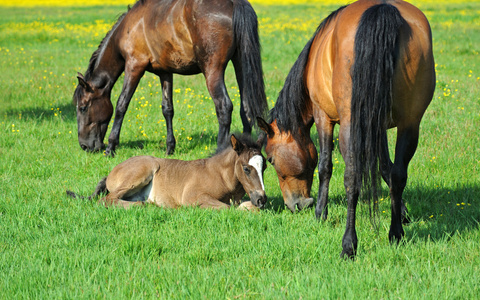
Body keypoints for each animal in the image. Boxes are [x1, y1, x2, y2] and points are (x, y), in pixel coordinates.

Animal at [66, 135, 268, 210]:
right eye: (246, 168)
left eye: (264, 168)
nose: (262, 199)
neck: (220, 175)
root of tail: (111, 172)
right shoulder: (193, 196)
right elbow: (229, 208)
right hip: (144, 169)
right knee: (107, 200)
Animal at [72, 0, 266, 157]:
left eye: (82, 108)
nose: (84, 146)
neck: (131, 26)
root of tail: (234, 3)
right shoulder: (165, 73)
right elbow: (167, 109)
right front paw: (170, 148)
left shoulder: (134, 67)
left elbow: (121, 105)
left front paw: (111, 147)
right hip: (240, 63)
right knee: (246, 107)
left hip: (213, 70)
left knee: (224, 107)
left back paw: (219, 150)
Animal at [258, 0, 436, 258]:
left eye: (270, 160)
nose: (296, 205)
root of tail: (383, 9)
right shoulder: (377, 127)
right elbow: (386, 168)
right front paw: (402, 212)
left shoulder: (323, 117)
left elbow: (325, 166)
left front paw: (320, 212)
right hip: (410, 124)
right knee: (399, 173)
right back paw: (395, 234)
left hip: (351, 126)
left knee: (352, 179)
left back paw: (349, 245)